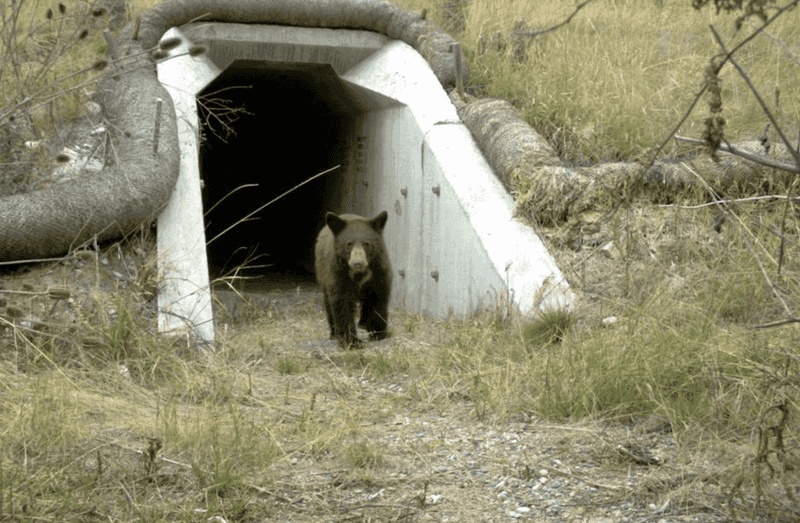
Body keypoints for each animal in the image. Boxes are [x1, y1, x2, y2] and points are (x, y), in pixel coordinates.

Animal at [318, 211, 396, 350]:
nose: (357, 263)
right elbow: (342, 302)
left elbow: (379, 297)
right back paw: (334, 333)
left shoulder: (379, 270)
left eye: (366, 243)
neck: (359, 273)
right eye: (349, 244)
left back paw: (363, 324)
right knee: (328, 303)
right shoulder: (337, 272)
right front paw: (351, 341)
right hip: (322, 273)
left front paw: (378, 333)